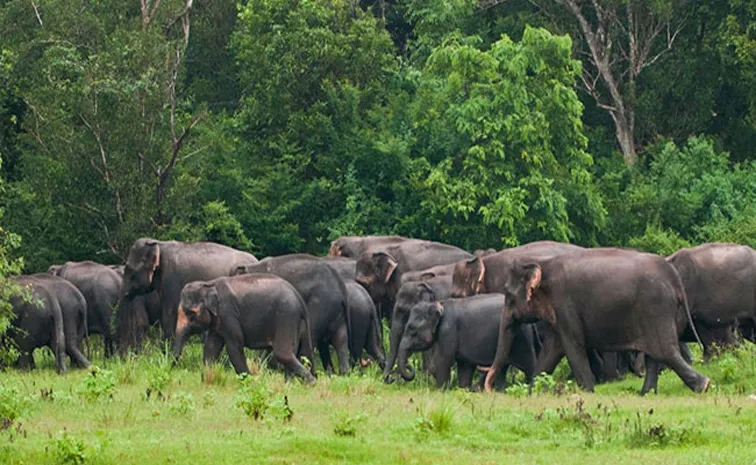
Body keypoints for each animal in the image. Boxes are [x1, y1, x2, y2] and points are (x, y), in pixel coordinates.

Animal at [117, 237, 256, 354]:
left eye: (130, 270)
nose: (123, 357)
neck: (158, 243)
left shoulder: (171, 279)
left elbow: (169, 315)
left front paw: (165, 353)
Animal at [172, 272, 316, 384]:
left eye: (191, 314)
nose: (170, 368)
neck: (209, 283)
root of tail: (299, 298)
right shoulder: (218, 321)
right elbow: (211, 347)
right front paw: (205, 381)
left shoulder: (228, 313)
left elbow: (234, 346)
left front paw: (250, 383)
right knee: (295, 351)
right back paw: (289, 384)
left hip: (286, 316)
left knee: (283, 353)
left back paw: (311, 383)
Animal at [396, 294, 536, 388]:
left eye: (412, 329)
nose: (409, 365)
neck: (439, 303)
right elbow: (464, 366)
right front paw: (463, 389)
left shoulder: (448, 330)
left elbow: (442, 361)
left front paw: (440, 390)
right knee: (501, 370)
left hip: (521, 338)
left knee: (529, 365)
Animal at [454, 248, 708, 394]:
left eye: (508, 295)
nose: (486, 389)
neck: (542, 263)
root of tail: (675, 277)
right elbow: (551, 350)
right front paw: (533, 390)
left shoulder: (566, 306)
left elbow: (573, 347)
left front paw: (587, 392)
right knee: (655, 355)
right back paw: (645, 393)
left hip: (656, 309)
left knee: (665, 351)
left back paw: (702, 386)